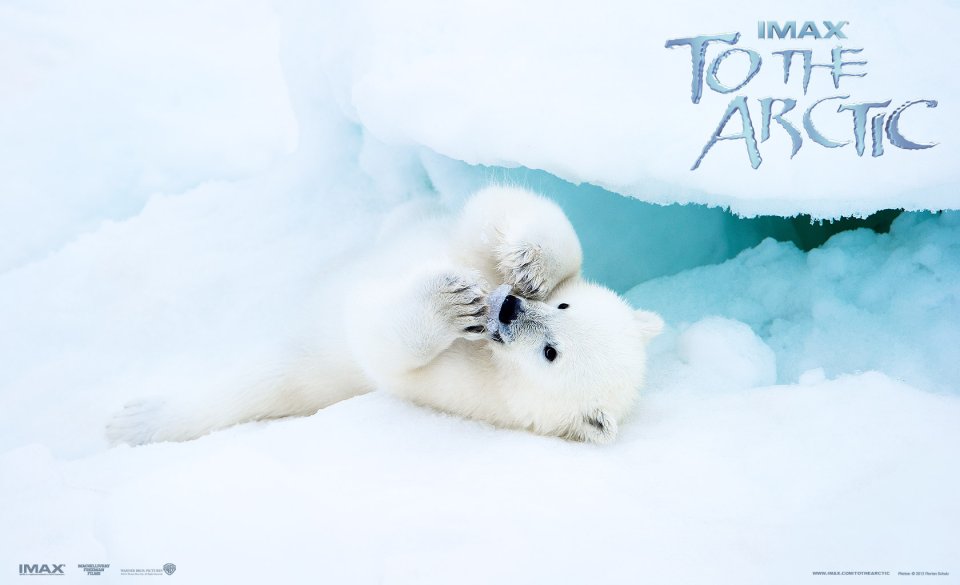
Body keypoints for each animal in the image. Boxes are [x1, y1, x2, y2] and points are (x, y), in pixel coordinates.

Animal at [106, 186, 664, 445]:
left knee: (253, 383)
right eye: (564, 305)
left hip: (306, 371)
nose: (507, 308)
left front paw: (451, 302)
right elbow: (502, 211)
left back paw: (134, 419)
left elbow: (382, 348)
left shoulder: (468, 391)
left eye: (551, 354)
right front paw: (527, 265)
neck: (494, 358)